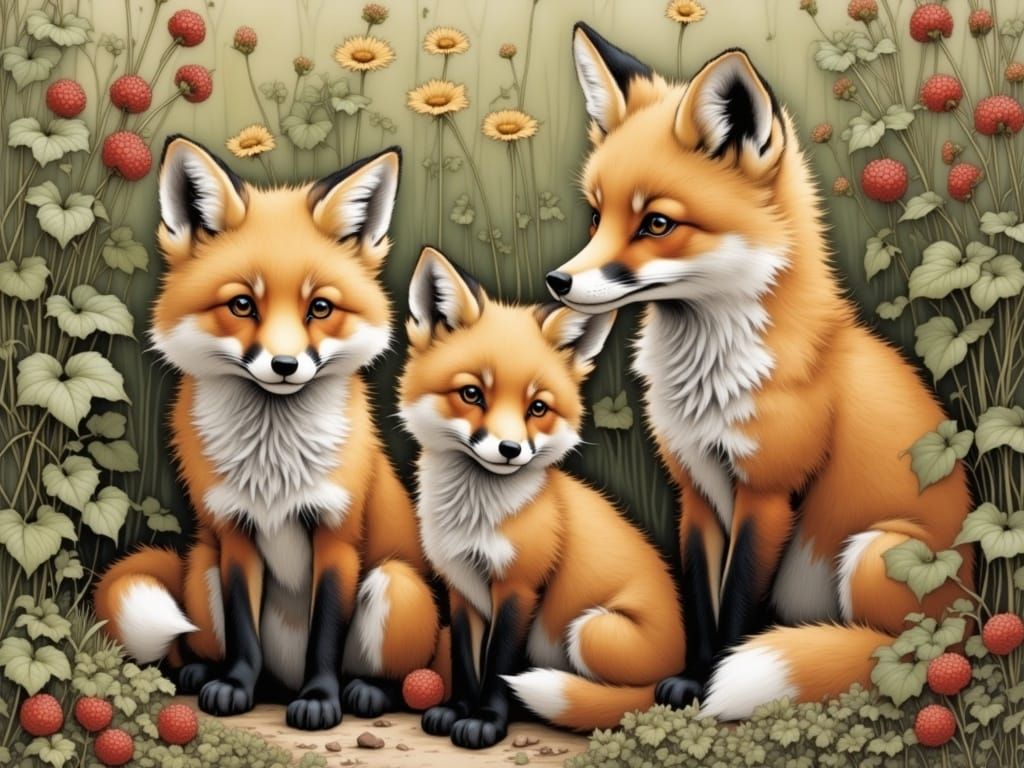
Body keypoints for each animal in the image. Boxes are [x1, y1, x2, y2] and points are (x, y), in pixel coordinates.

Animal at [94, 136, 441, 730]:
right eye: (242, 304)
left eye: (320, 307)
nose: (284, 365)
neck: (273, 464)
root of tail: (282, 682)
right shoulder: (235, 533)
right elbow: (243, 633)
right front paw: (235, 687)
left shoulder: (336, 535)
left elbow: (325, 635)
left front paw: (321, 700)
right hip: (202, 568)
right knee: (200, 646)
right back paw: (207, 674)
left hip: (398, 583)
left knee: (397, 676)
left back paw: (365, 692)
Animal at [397, 246, 686, 748]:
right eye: (471, 394)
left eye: (537, 408)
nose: (510, 450)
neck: (474, 518)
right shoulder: (461, 588)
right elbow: (465, 662)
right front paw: (454, 711)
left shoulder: (520, 586)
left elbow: (497, 666)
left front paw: (484, 723)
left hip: (591, 629)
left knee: (628, 695)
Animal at [544, 23, 974, 719]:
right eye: (596, 215)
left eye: (656, 223)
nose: (557, 283)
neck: (709, 381)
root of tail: (969, 619)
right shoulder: (694, 488)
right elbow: (701, 598)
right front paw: (690, 680)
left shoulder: (768, 492)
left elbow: (739, 603)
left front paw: (714, 684)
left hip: (876, 554)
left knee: (890, 656)